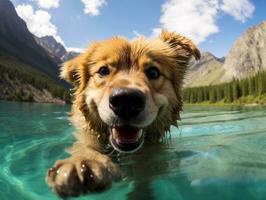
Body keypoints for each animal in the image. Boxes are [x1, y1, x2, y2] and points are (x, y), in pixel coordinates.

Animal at [46, 30, 200, 198]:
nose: (127, 101)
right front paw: (83, 161)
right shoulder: (86, 130)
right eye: (103, 71)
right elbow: (86, 143)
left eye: (153, 72)